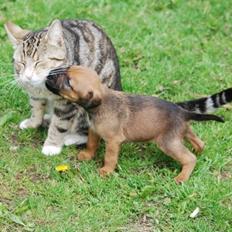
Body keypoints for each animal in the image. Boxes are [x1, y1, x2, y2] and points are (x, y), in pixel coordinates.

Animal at [4, 19, 122, 155]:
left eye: (39, 62)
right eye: (21, 63)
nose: (28, 76)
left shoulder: (66, 102)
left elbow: (59, 124)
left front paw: (52, 145)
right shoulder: (35, 94)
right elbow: (35, 107)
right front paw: (33, 123)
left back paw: (71, 137)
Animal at [45, 65, 223, 183]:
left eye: (69, 83)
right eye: (67, 68)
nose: (48, 76)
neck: (102, 104)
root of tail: (182, 112)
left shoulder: (113, 141)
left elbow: (109, 158)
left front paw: (106, 171)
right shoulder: (94, 131)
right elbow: (91, 144)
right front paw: (87, 156)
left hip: (168, 143)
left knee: (189, 159)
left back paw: (182, 177)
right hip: (182, 132)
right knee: (199, 142)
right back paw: (198, 151)